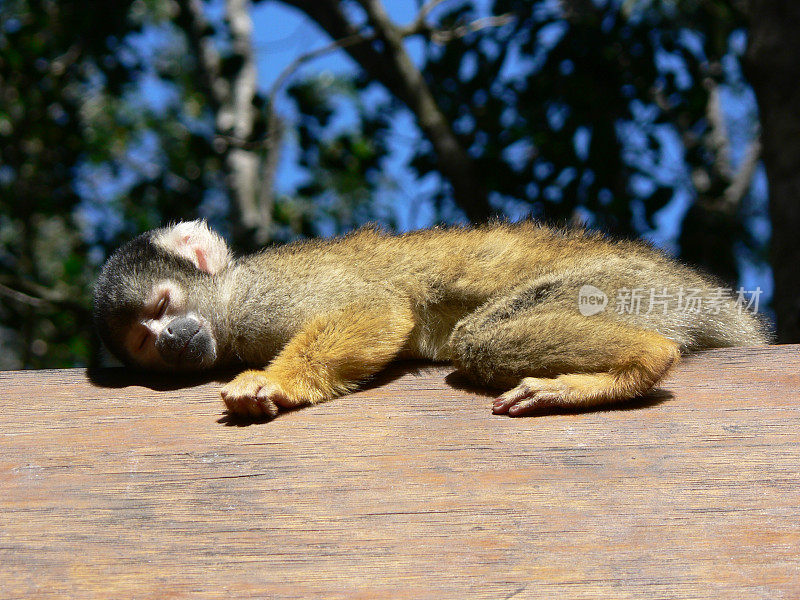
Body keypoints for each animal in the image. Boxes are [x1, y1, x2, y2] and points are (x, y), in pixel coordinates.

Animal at [94, 218, 768, 420]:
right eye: (144, 342)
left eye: (162, 308)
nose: (172, 341)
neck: (229, 299)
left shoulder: (263, 297)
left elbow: (376, 308)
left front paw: (274, 384)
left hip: (622, 287)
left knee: (479, 338)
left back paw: (636, 366)